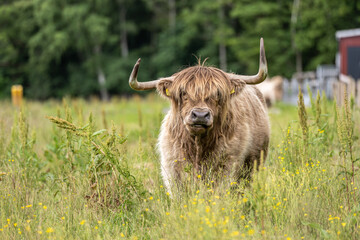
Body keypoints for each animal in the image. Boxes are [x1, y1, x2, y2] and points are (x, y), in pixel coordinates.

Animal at [129, 38, 270, 194]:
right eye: (183, 93)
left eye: (218, 93)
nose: (200, 115)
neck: (198, 146)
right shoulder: (172, 167)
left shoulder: (229, 163)